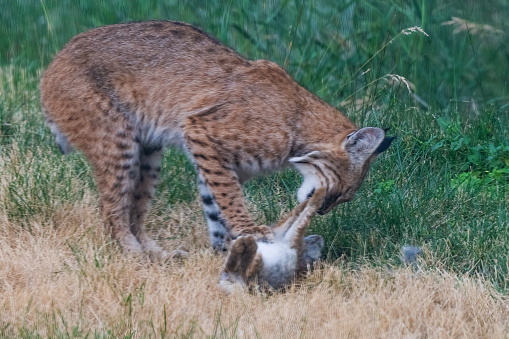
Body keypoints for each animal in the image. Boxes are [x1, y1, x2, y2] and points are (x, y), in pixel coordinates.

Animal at [39, 20, 394, 260]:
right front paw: (251, 231)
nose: (321, 212)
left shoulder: (215, 158)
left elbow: (215, 204)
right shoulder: (201, 132)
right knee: (110, 209)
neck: (299, 129)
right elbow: (230, 197)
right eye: (341, 191)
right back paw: (133, 255)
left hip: (149, 152)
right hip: (117, 139)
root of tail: (55, 59)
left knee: (134, 207)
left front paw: (228, 250)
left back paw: (156, 254)